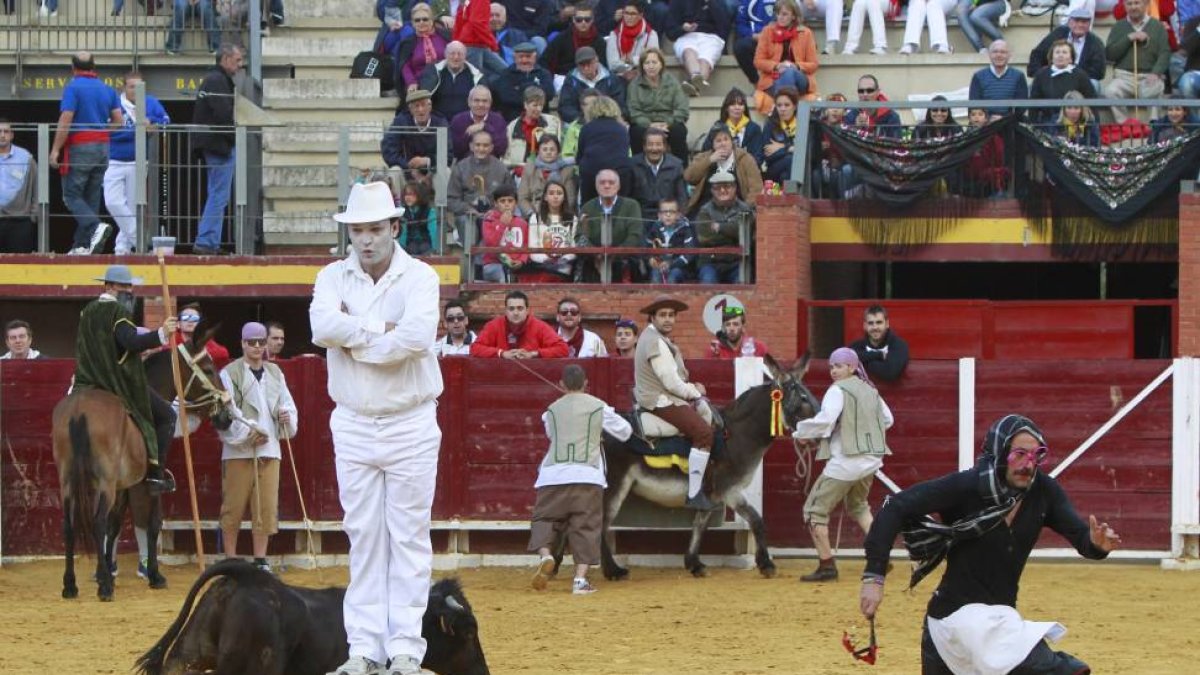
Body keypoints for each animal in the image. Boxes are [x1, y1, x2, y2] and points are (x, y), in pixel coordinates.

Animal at [54, 326, 231, 598]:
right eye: (209, 369)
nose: (226, 416)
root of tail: (79, 411)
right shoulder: (146, 484)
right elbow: (152, 521)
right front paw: (154, 575)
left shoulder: (123, 485)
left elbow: (115, 524)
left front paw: (106, 570)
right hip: (104, 480)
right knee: (98, 521)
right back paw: (105, 588)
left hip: (68, 478)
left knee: (69, 523)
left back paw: (70, 584)